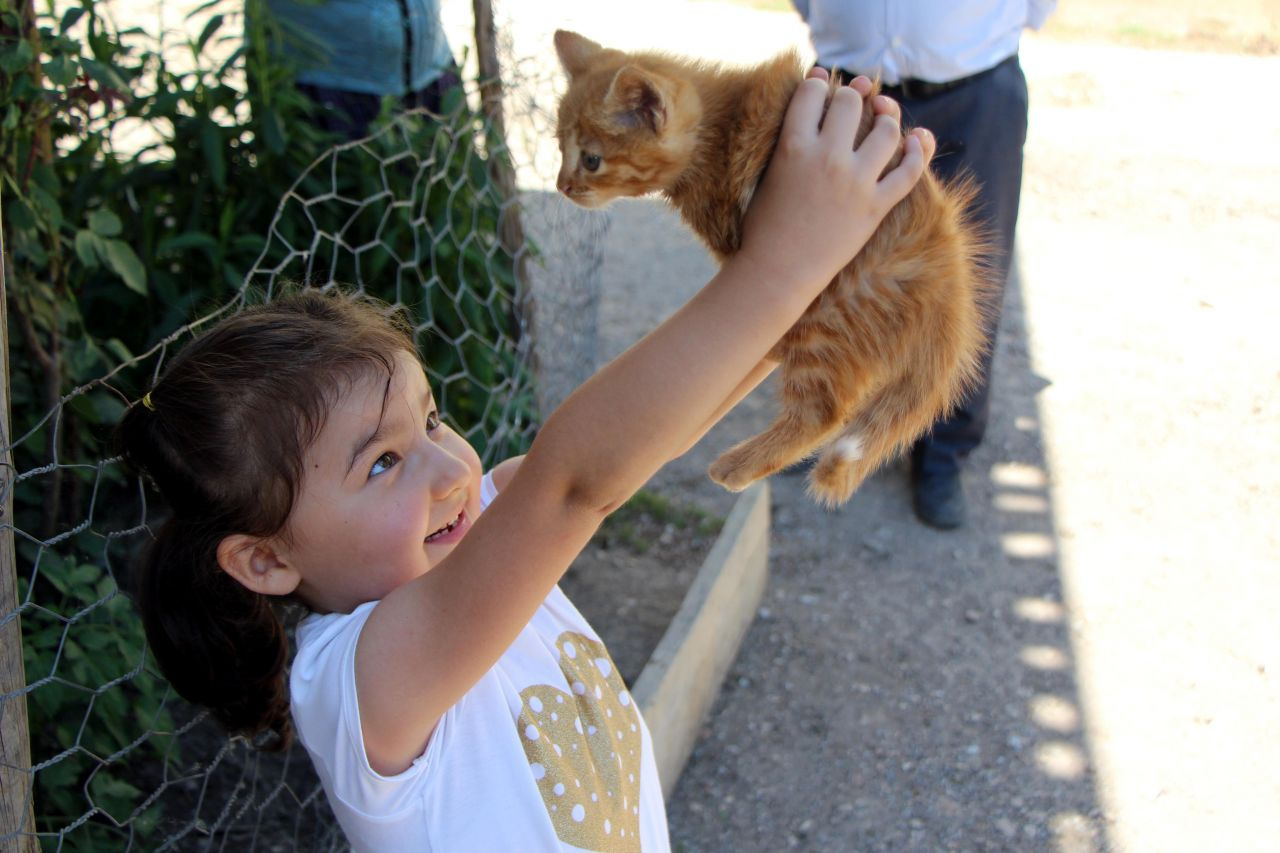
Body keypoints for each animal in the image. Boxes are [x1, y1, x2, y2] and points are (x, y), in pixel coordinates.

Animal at [552, 31, 988, 504]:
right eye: (559, 149)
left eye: (591, 160)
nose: (562, 186)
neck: (721, 128)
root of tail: (951, 284)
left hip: (833, 313)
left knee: (824, 411)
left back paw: (736, 466)